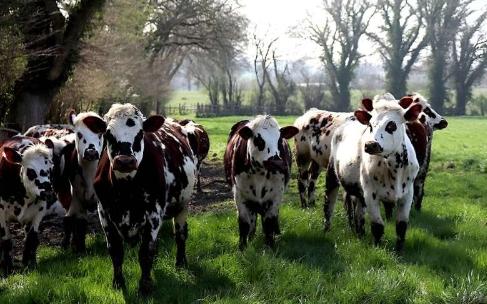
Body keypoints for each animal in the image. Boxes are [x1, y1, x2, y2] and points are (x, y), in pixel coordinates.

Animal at [0, 137, 56, 274]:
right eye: (31, 171)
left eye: (51, 169)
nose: (48, 193)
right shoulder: (1, 212)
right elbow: (6, 241)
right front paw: (7, 268)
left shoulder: (40, 209)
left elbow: (32, 238)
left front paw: (29, 263)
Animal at [94, 104, 196, 294]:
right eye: (108, 134)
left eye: (140, 133)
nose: (125, 161)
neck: (126, 188)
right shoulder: (104, 213)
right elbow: (116, 251)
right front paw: (118, 283)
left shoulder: (154, 213)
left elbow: (145, 251)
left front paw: (145, 286)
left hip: (183, 205)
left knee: (180, 234)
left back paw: (180, 263)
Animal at [224, 115, 298, 251]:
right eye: (258, 140)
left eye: (280, 140)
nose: (277, 162)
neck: (260, 173)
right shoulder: (240, 195)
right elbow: (244, 223)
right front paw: (242, 247)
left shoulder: (275, 196)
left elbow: (269, 222)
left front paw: (270, 246)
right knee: (252, 219)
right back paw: (251, 235)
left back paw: (276, 233)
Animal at [326, 98, 426, 251]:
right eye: (370, 126)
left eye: (391, 125)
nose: (370, 144)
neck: (393, 168)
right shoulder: (370, 194)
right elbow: (377, 226)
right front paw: (377, 248)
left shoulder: (407, 194)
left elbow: (401, 226)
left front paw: (399, 251)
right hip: (332, 174)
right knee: (329, 204)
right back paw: (326, 230)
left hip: (358, 193)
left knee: (358, 214)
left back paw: (360, 233)